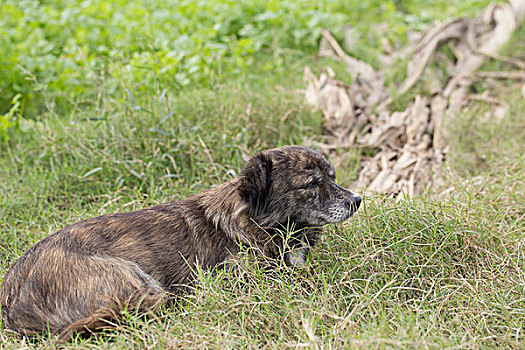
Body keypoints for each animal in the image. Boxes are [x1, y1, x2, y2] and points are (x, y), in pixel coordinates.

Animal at [0, 145, 360, 340]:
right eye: (311, 184)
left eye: (333, 177)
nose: (356, 200)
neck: (256, 222)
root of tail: (13, 297)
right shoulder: (246, 283)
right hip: (136, 281)